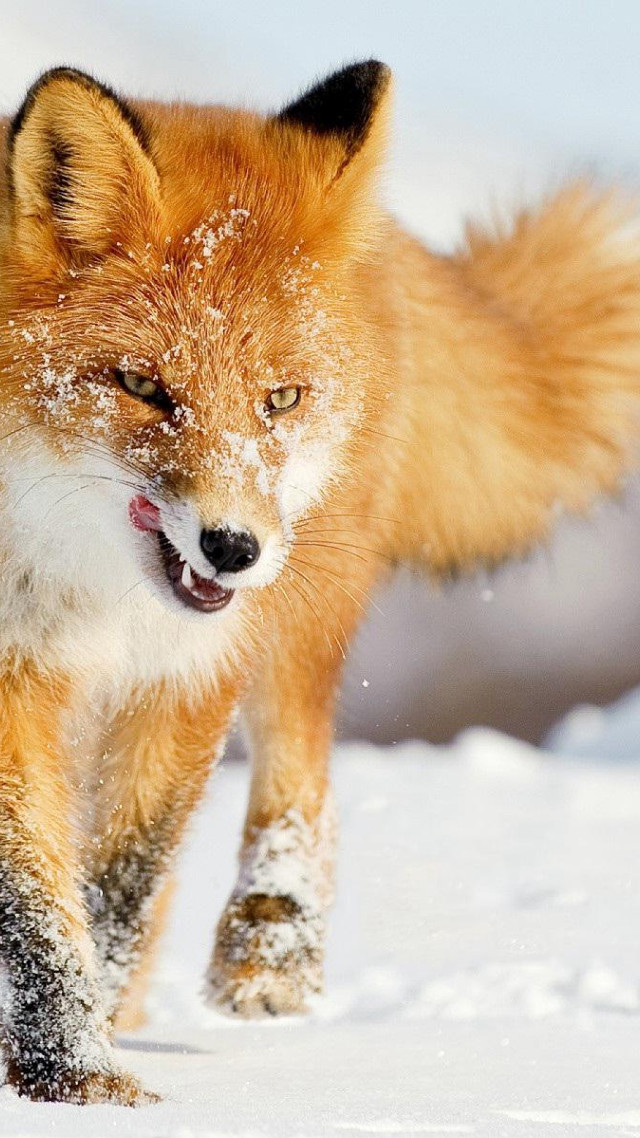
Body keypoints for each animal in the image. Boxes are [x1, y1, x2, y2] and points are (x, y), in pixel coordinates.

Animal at [0, 58, 639, 1105]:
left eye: (279, 400)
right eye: (144, 388)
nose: (231, 548)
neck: (94, 594)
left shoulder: (188, 674)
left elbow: (120, 882)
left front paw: (82, 1076)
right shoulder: (21, 675)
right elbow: (46, 905)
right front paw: (77, 1071)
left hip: (300, 610)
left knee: (302, 775)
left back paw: (270, 949)